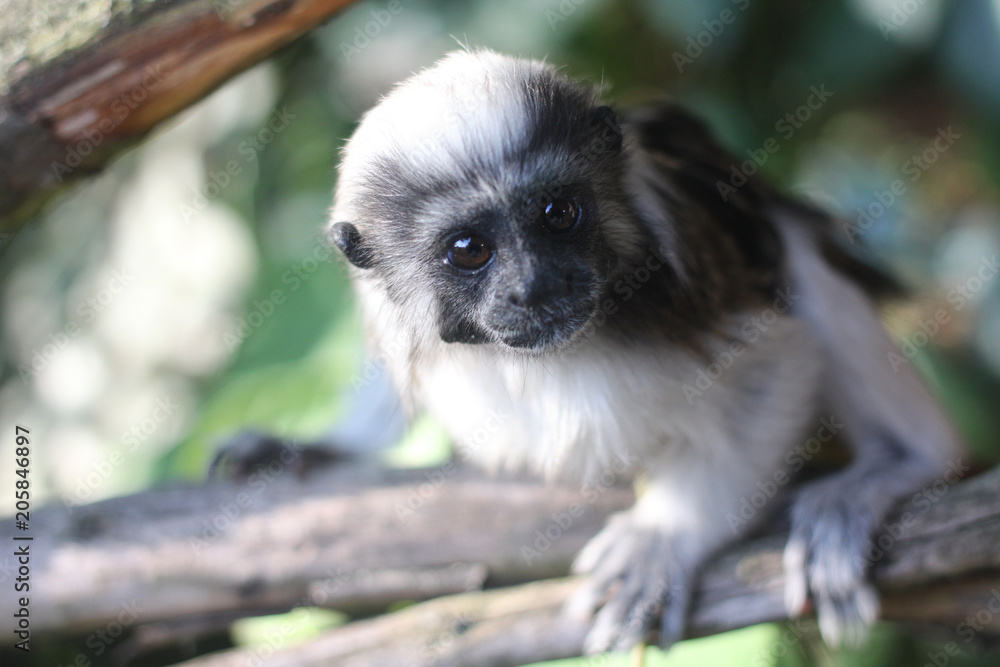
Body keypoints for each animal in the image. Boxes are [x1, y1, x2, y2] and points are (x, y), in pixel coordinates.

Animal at [326, 49, 964, 653]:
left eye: (559, 214)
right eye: (468, 250)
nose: (535, 287)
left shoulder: (691, 289)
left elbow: (780, 361)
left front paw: (667, 535)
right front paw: (320, 449)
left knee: (799, 253)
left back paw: (901, 462)